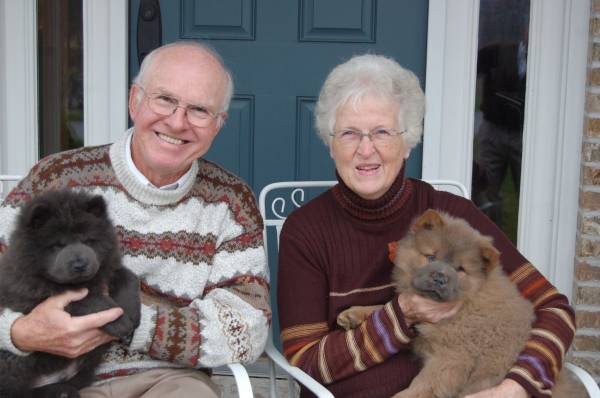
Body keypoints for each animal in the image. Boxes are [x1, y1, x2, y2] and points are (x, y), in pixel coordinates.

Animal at [0, 190, 141, 398]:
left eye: (88, 240)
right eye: (58, 245)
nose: (80, 264)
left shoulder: (107, 267)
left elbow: (128, 277)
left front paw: (132, 315)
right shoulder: (36, 296)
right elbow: (88, 299)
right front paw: (120, 321)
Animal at [338, 210, 584, 396]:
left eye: (460, 269)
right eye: (431, 257)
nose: (439, 278)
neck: (466, 301)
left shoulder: (451, 358)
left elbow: (419, 387)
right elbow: (384, 307)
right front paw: (352, 314)